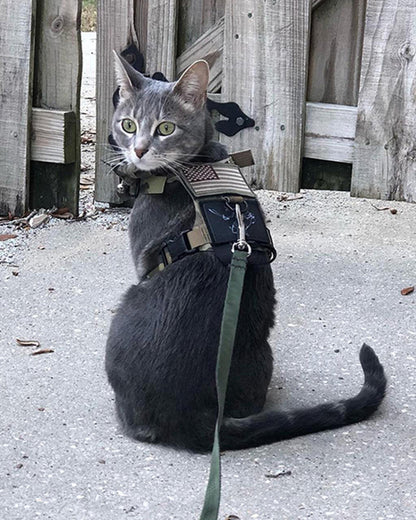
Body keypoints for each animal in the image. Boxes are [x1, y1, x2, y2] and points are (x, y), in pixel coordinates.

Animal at [105, 55, 387, 453]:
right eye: (128, 124)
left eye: (165, 128)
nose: (139, 150)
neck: (195, 164)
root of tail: (194, 417)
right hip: (262, 353)